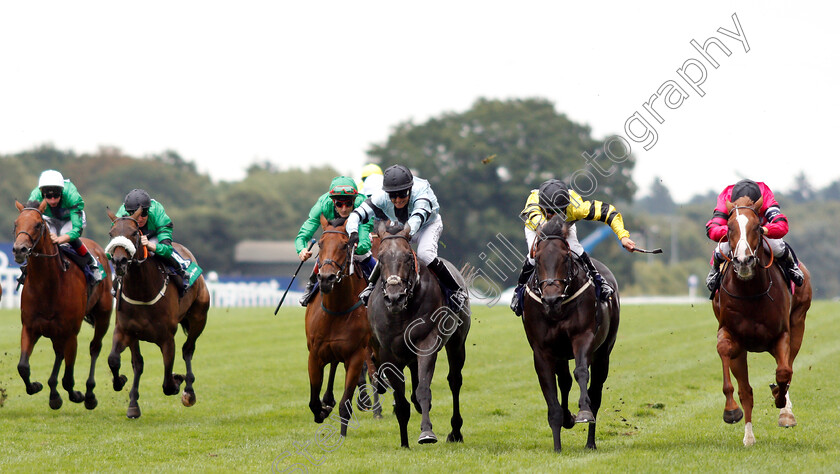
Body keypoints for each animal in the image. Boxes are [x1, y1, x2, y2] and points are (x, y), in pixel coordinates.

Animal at [12, 198, 113, 410]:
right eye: (16, 223)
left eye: (38, 224)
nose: (19, 250)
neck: (49, 285)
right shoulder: (30, 327)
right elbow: (23, 366)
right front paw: (37, 386)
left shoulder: (71, 332)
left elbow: (68, 378)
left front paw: (77, 395)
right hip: (55, 331)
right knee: (59, 353)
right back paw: (53, 391)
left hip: (103, 317)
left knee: (94, 348)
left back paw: (89, 394)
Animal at [104, 208, 210, 418]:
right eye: (112, 234)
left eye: (134, 233)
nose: (119, 262)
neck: (142, 291)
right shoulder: (125, 331)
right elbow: (116, 360)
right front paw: (122, 385)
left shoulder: (167, 338)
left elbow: (168, 381)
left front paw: (178, 381)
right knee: (138, 363)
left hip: (199, 318)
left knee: (188, 349)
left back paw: (189, 391)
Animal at [304, 217, 372, 436]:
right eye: (320, 244)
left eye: (344, 245)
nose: (326, 278)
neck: (336, 310)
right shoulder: (314, 354)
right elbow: (313, 400)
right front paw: (322, 410)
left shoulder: (356, 355)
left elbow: (346, 403)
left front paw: (342, 435)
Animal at [520, 215, 620, 452]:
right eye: (537, 259)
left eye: (565, 258)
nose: (551, 299)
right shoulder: (542, 351)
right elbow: (551, 389)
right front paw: (557, 445)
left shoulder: (582, 337)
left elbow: (581, 372)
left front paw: (583, 412)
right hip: (561, 354)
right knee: (564, 381)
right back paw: (567, 419)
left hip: (603, 352)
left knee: (596, 392)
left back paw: (590, 442)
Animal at [712, 195, 812, 444]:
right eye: (729, 228)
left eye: (757, 226)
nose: (743, 261)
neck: (750, 292)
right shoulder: (732, 335)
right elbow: (727, 357)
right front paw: (731, 411)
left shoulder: (782, 334)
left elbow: (784, 372)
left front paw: (781, 402)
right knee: (746, 390)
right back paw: (748, 436)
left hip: (799, 322)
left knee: (788, 368)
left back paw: (785, 409)